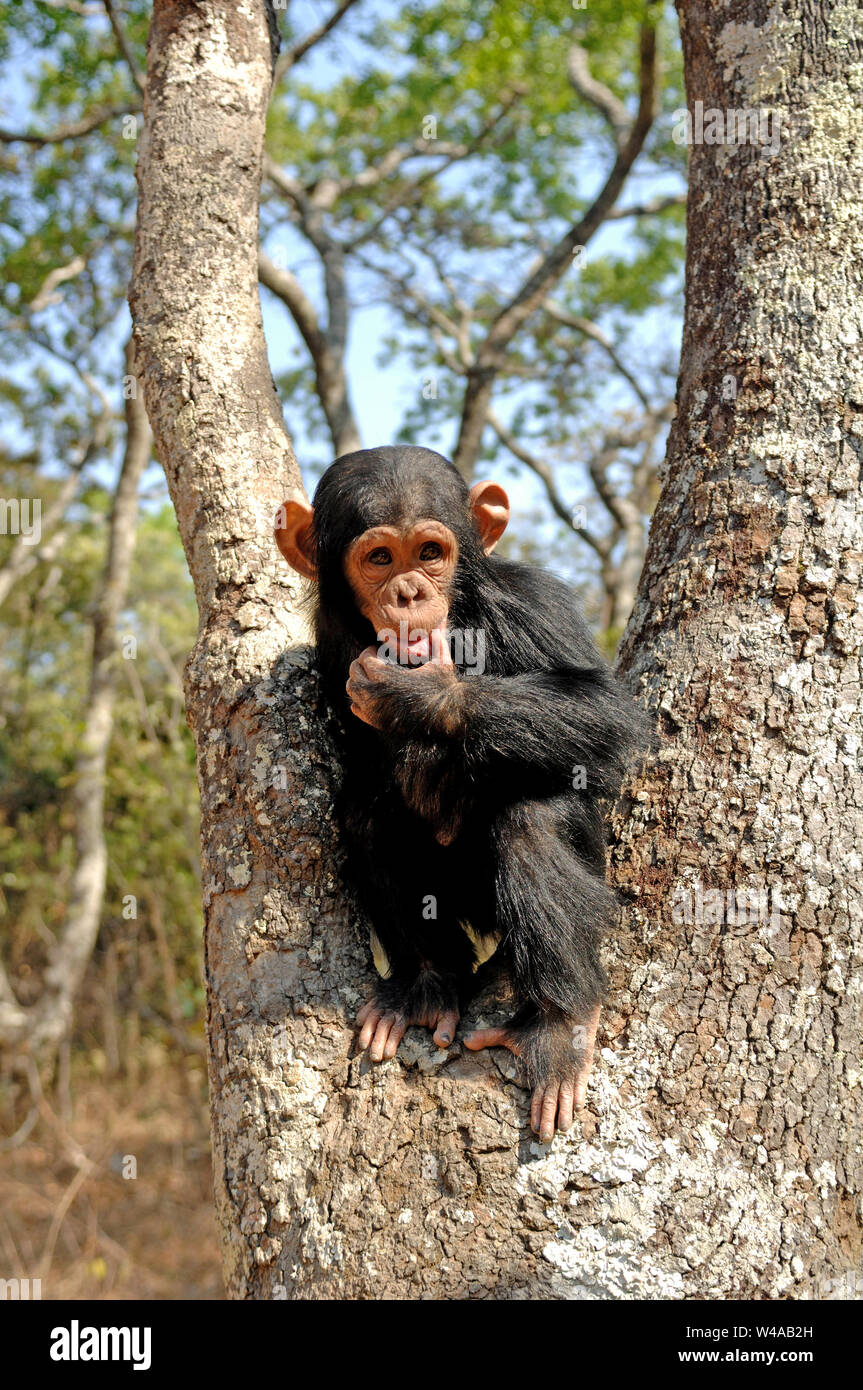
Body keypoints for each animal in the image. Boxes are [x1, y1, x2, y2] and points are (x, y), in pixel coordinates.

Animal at [273, 444, 639, 1139]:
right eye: (380, 558)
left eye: (429, 553)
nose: (410, 591)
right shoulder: (323, 652)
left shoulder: (535, 602)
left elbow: (603, 709)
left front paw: (419, 695)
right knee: (368, 817)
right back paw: (427, 986)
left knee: (532, 817)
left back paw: (559, 1023)